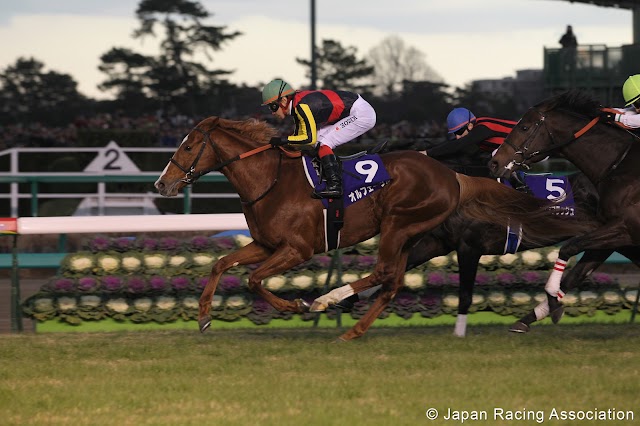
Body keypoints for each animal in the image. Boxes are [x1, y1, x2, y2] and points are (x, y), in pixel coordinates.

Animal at [156, 115, 596, 340]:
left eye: (189, 145)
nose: (162, 184)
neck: (272, 181)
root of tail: (453, 176)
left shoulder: (296, 249)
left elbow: (252, 280)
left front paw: (298, 305)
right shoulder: (265, 245)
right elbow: (221, 265)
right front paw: (203, 316)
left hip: (398, 224)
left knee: (385, 272)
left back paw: (329, 300)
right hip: (414, 234)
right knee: (393, 280)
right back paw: (353, 325)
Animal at [490, 90, 640, 326]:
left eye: (524, 127)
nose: (495, 162)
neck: (620, 166)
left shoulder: (626, 228)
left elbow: (569, 247)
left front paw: (552, 298)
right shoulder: (615, 232)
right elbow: (576, 273)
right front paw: (535, 314)